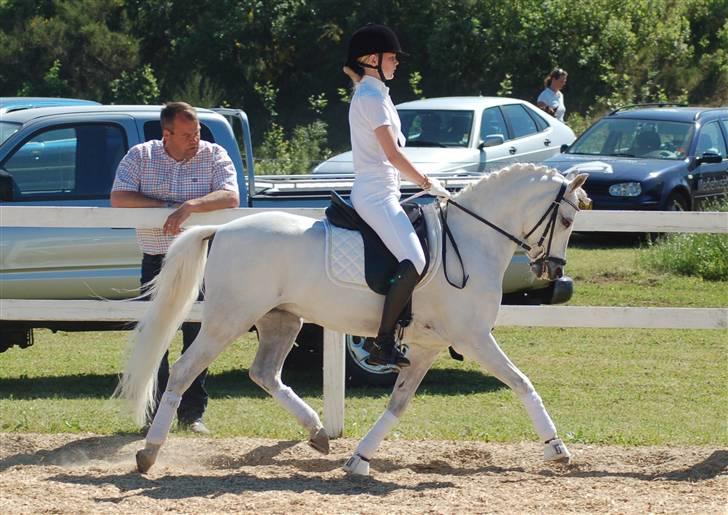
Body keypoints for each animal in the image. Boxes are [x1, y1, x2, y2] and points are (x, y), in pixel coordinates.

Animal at [116, 164, 588, 476]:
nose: (552, 269)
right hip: (227, 320)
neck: (471, 240)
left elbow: (398, 404)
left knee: (265, 373)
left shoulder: (425, 348)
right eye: (566, 219)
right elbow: (522, 382)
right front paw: (557, 448)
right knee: (183, 371)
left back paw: (318, 433)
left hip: (281, 321)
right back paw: (149, 454)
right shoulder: (473, 337)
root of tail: (222, 230)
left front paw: (359, 459)